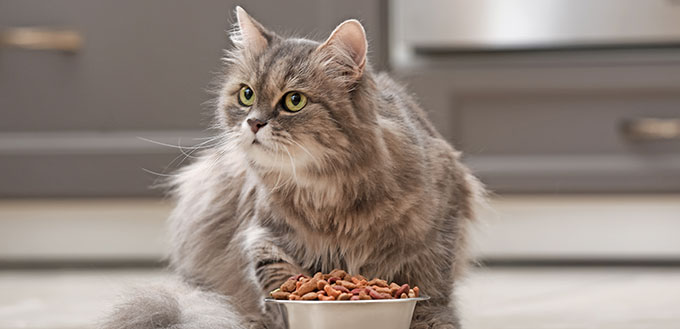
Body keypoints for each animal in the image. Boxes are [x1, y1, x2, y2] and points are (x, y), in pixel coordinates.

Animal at [102, 5, 484, 328]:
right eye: (246, 95)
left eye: (294, 101)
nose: (254, 123)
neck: (326, 189)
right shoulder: (263, 236)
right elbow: (278, 282)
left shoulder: (441, 227)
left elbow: (433, 288)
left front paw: (435, 321)